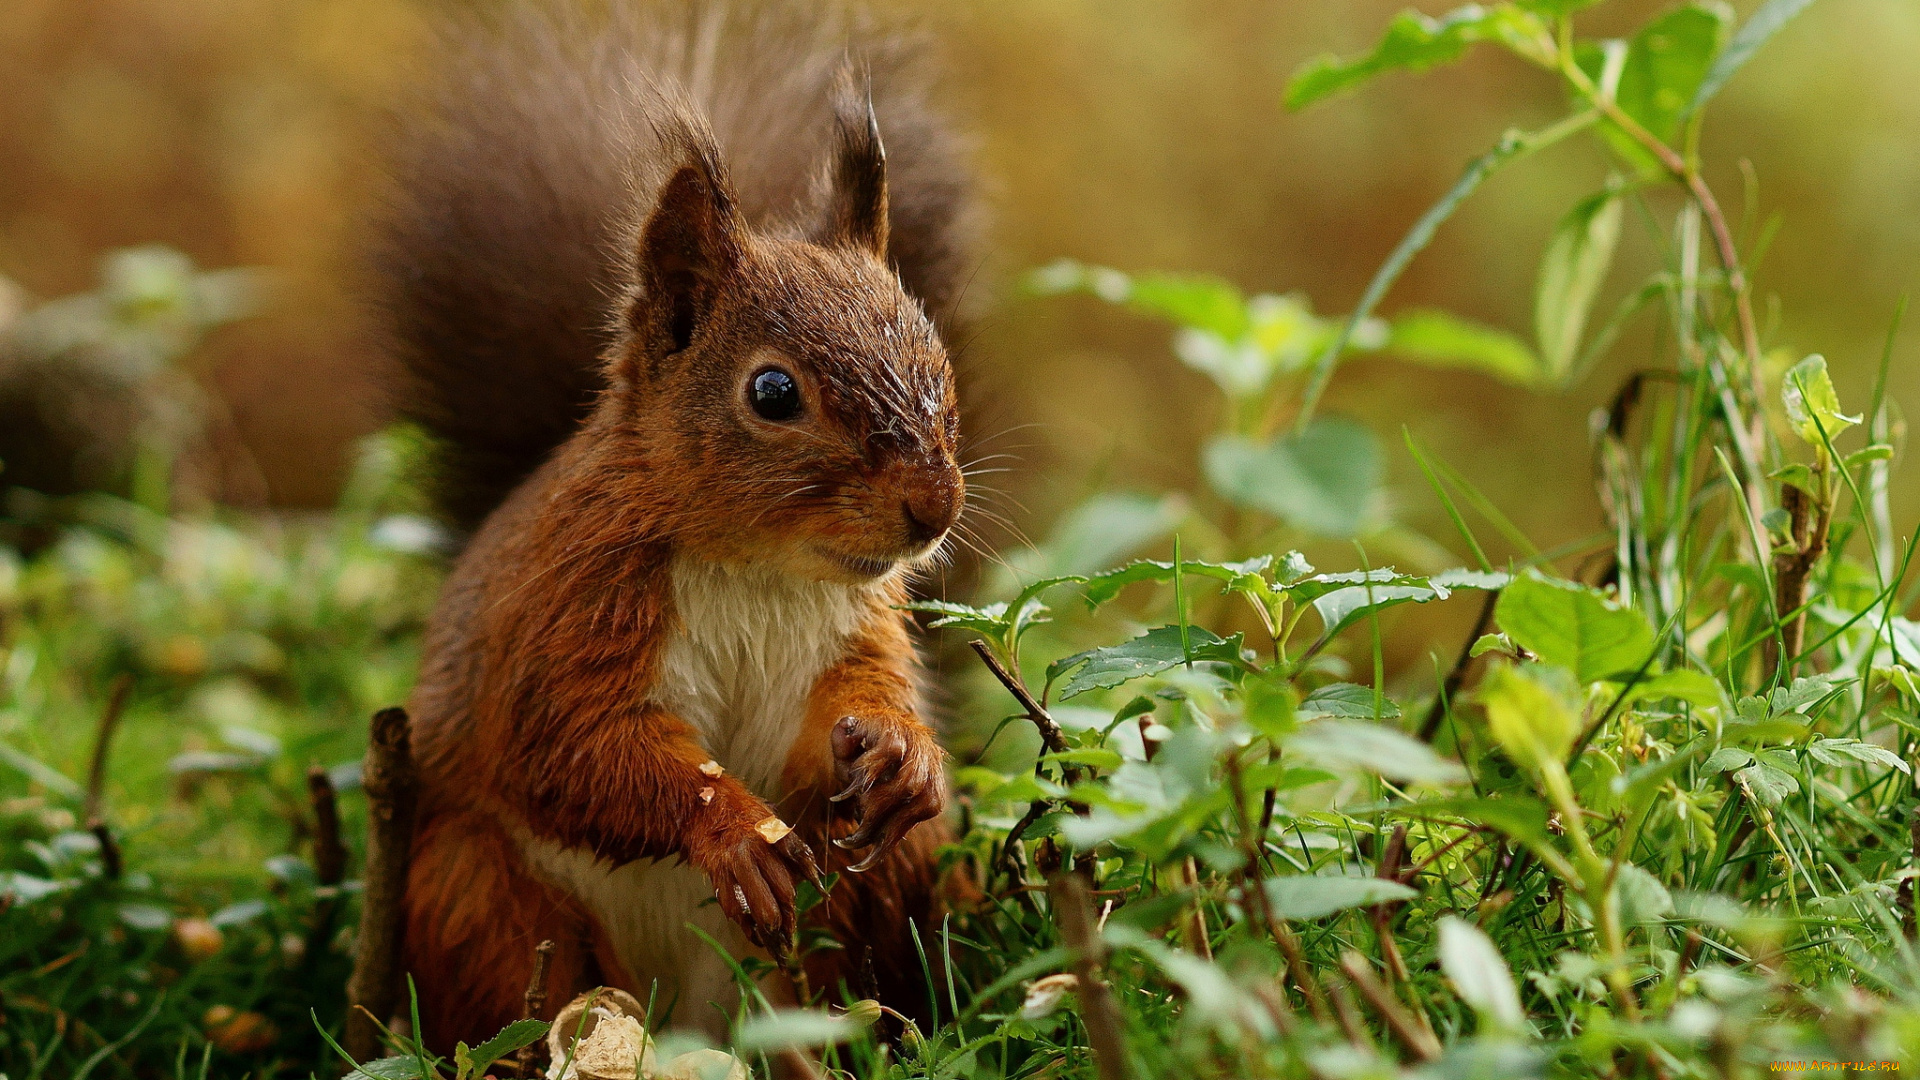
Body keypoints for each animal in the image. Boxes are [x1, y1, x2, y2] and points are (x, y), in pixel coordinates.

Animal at [368, 0, 983, 1045]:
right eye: (772, 393)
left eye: (936, 363)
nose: (932, 507)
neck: (760, 570)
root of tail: (686, 1015)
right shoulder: (566, 611)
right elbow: (578, 749)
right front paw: (730, 828)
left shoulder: (855, 628)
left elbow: (843, 720)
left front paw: (903, 752)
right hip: (475, 893)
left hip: (879, 887)